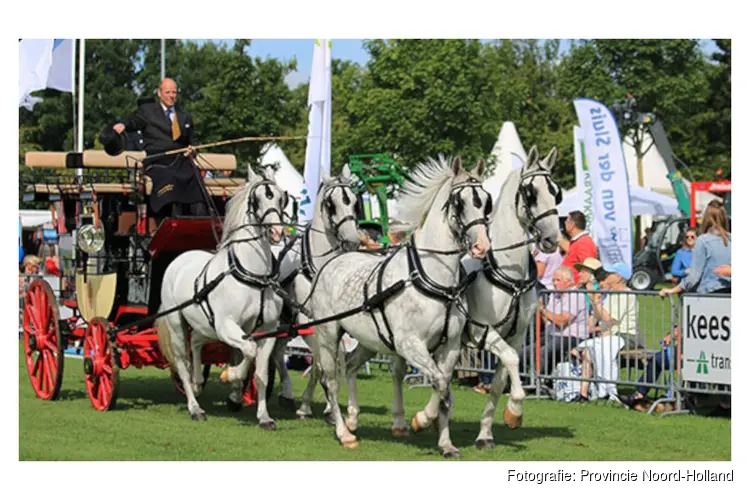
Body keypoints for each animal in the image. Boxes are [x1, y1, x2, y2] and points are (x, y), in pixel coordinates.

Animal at [157, 167, 286, 426]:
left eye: (280, 198)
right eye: (257, 200)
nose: (277, 232)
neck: (253, 276)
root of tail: (180, 258)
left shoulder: (268, 330)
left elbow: (261, 373)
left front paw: (264, 416)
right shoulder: (227, 326)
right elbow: (249, 351)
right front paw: (231, 376)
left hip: (206, 325)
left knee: (196, 341)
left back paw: (198, 381)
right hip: (177, 323)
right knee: (182, 362)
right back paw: (195, 407)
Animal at [272, 167, 362, 418]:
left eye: (355, 202)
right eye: (331, 204)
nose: (352, 241)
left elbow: (334, 360)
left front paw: (330, 405)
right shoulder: (309, 321)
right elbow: (320, 363)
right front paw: (307, 406)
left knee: (277, 353)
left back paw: (286, 394)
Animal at [306, 157, 490, 458]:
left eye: (486, 202)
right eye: (459, 202)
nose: (481, 245)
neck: (432, 278)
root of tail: (332, 262)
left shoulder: (450, 347)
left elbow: (445, 391)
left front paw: (446, 444)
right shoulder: (410, 344)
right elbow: (440, 384)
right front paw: (421, 420)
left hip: (371, 340)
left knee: (351, 366)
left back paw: (353, 418)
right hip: (328, 335)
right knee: (331, 380)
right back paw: (344, 432)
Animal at [464, 146, 564, 450]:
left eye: (556, 192)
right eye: (531, 193)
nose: (553, 240)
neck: (510, 274)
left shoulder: (516, 335)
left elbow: (500, 380)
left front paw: (487, 433)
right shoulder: (481, 331)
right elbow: (511, 361)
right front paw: (516, 407)